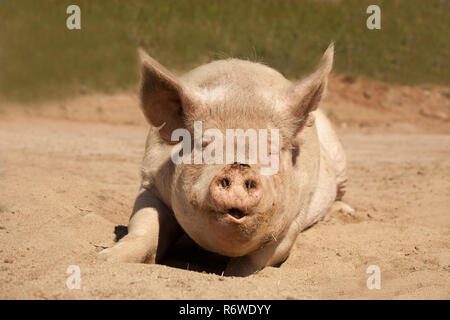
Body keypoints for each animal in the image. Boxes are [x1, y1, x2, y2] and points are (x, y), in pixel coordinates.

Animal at [97, 43, 352, 276]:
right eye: (204, 144)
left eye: (271, 149)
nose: (239, 167)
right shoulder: (150, 183)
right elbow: (143, 230)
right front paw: (103, 259)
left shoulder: (298, 213)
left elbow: (257, 260)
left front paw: (232, 274)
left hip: (340, 160)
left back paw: (346, 213)